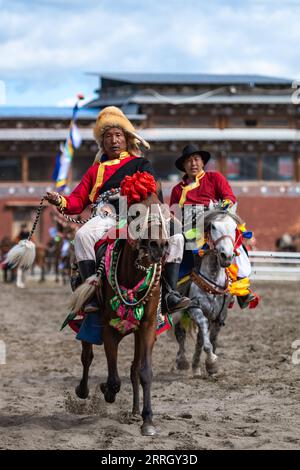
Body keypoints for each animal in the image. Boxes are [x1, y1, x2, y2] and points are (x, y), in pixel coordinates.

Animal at [75, 192, 169, 436]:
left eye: (163, 212)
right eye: (135, 213)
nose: (158, 246)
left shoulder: (147, 327)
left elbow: (144, 371)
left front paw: (148, 420)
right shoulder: (108, 328)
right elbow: (113, 378)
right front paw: (106, 390)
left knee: (134, 368)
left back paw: (136, 411)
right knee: (87, 356)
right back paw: (83, 389)